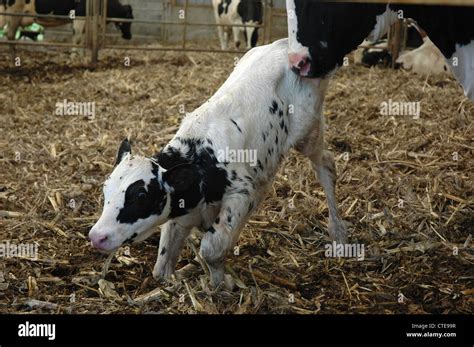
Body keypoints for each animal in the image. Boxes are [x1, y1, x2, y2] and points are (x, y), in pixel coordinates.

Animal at [0, 0, 132, 46]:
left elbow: (82, 40)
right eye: (129, 20)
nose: (129, 36)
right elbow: (77, 39)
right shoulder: (79, 15)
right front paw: (74, 57)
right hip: (14, 13)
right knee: (10, 35)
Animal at [90, 38, 348, 288]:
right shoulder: (184, 214)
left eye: (141, 195)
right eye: (105, 190)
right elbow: (162, 269)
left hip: (309, 132)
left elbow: (211, 249)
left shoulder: (242, 193)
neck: (201, 155)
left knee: (326, 166)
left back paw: (338, 232)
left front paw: (221, 284)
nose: (97, 236)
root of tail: (284, 44)